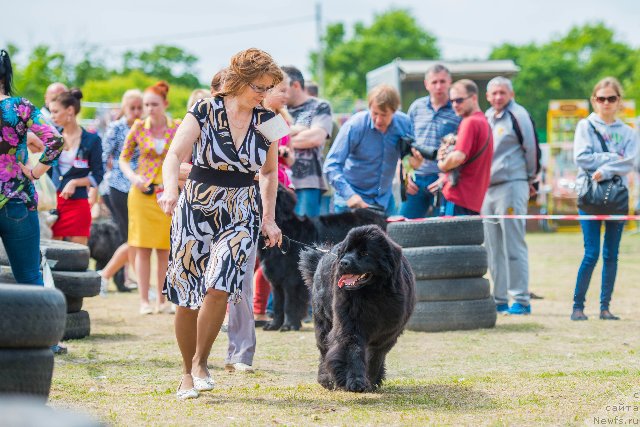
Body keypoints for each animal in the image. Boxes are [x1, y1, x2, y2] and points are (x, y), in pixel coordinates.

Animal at [258, 186, 388, 332]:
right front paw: (274, 325)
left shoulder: (291, 279)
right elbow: (278, 304)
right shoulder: (276, 279)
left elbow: (289, 304)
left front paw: (289, 325)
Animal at [298, 226, 416, 392]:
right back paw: (326, 380)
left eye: (365, 253)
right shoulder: (349, 324)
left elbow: (374, 357)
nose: (343, 262)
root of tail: (323, 255)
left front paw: (370, 381)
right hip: (323, 321)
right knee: (324, 350)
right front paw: (355, 382)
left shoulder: (387, 333)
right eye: (347, 251)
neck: (372, 294)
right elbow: (352, 350)